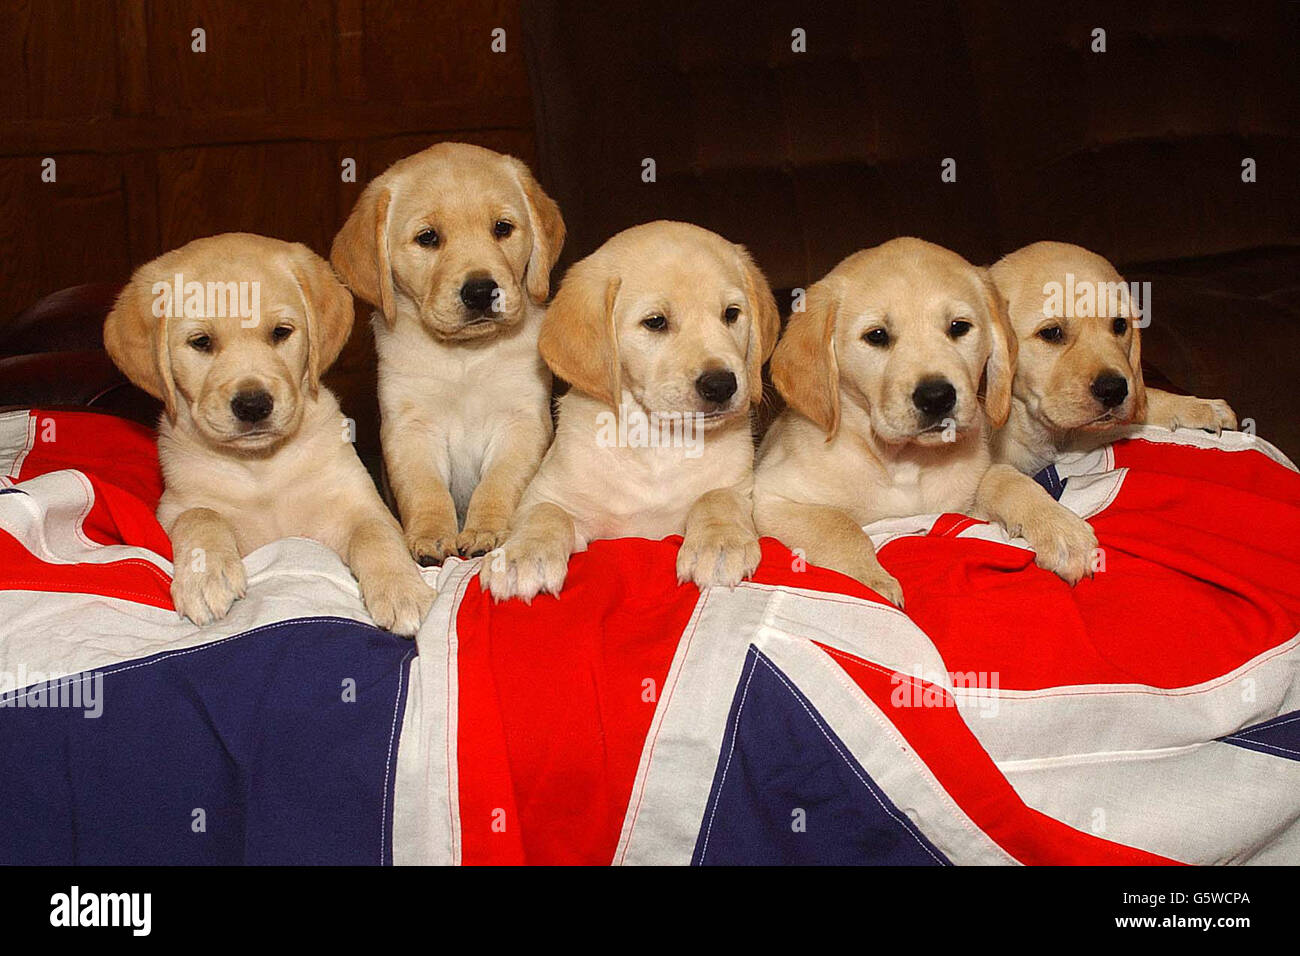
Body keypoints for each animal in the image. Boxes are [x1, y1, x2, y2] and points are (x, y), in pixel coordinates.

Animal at [102, 232, 436, 639]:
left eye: (280, 332)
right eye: (201, 342)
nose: (252, 405)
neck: (260, 470)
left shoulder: (356, 502)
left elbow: (376, 533)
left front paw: (401, 587)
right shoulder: (172, 508)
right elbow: (199, 515)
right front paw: (205, 576)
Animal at [330, 141, 564, 567]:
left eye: (502, 228)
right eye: (428, 238)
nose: (481, 291)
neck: (464, 357)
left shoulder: (521, 421)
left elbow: (498, 484)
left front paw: (486, 531)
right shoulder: (411, 428)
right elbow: (424, 490)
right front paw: (430, 537)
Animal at [483, 221, 774, 600]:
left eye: (731, 314)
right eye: (656, 322)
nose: (721, 385)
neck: (658, 442)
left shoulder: (739, 487)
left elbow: (717, 497)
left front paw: (720, 543)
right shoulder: (548, 493)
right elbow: (545, 513)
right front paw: (522, 555)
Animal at [754, 238, 1097, 606]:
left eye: (959, 327)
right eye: (876, 336)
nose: (936, 397)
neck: (905, 462)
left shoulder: (963, 501)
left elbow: (1005, 478)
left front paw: (1062, 528)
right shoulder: (767, 498)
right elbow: (839, 525)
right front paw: (873, 583)